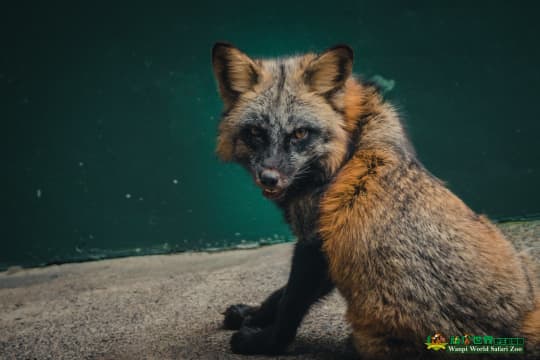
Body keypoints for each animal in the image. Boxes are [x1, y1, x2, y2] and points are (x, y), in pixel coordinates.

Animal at [210, 41, 540, 358]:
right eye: (255, 132)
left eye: (300, 133)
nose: (269, 177)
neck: (348, 146)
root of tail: (515, 329)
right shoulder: (330, 251)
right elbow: (278, 296)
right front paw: (251, 314)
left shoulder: (317, 244)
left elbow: (289, 305)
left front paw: (264, 342)